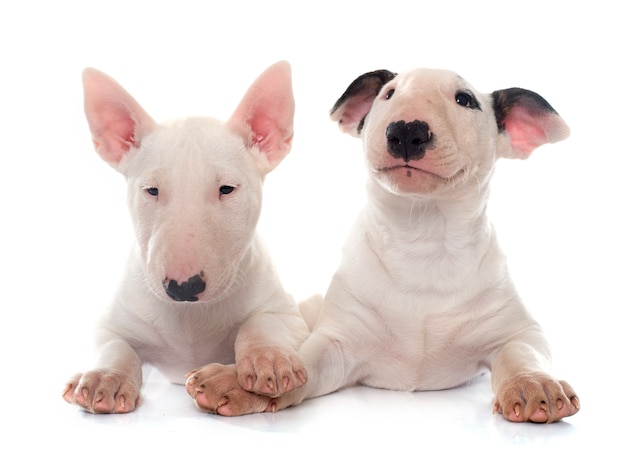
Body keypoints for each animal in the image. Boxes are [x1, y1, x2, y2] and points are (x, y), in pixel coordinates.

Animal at [61, 60, 310, 414]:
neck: (189, 318)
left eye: (226, 189)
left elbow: (263, 322)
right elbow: (113, 344)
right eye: (152, 190)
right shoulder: (110, 321)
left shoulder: (287, 312)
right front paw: (105, 379)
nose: (183, 287)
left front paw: (269, 359)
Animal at [186, 68, 580, 422]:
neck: (423, 239)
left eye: (465, 100)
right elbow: (305, 359)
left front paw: (534, 384)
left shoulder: (519, 330)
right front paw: (237, 380)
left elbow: (521, 352)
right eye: (389, 94)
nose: (405, 130)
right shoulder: (337, 342)